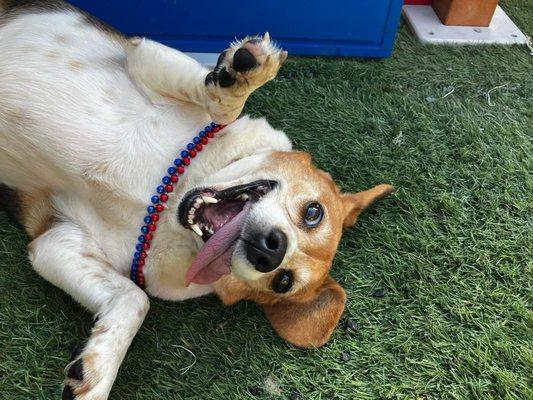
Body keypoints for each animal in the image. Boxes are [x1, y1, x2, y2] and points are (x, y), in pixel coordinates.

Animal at [0, 1, 390, 398]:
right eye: (314, 212)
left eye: (283, 282)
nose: (270, 251)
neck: (166, 200)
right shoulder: (142, 55)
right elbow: (222, 106)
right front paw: (240, 76)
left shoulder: (56, 241)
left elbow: (135, 300)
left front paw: (97, 370)